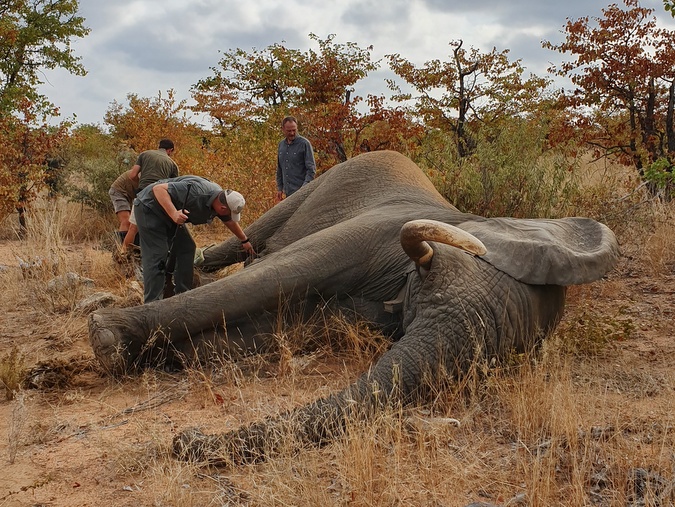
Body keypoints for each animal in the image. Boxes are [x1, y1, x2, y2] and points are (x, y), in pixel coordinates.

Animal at [87, 150, 620, 464]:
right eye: (435, 278)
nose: (187, 438)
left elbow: (272, 324)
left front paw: (166, 356)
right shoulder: (372, 232)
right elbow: (276, 276)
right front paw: (106, 339)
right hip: (309, 187)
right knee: (245, 239)